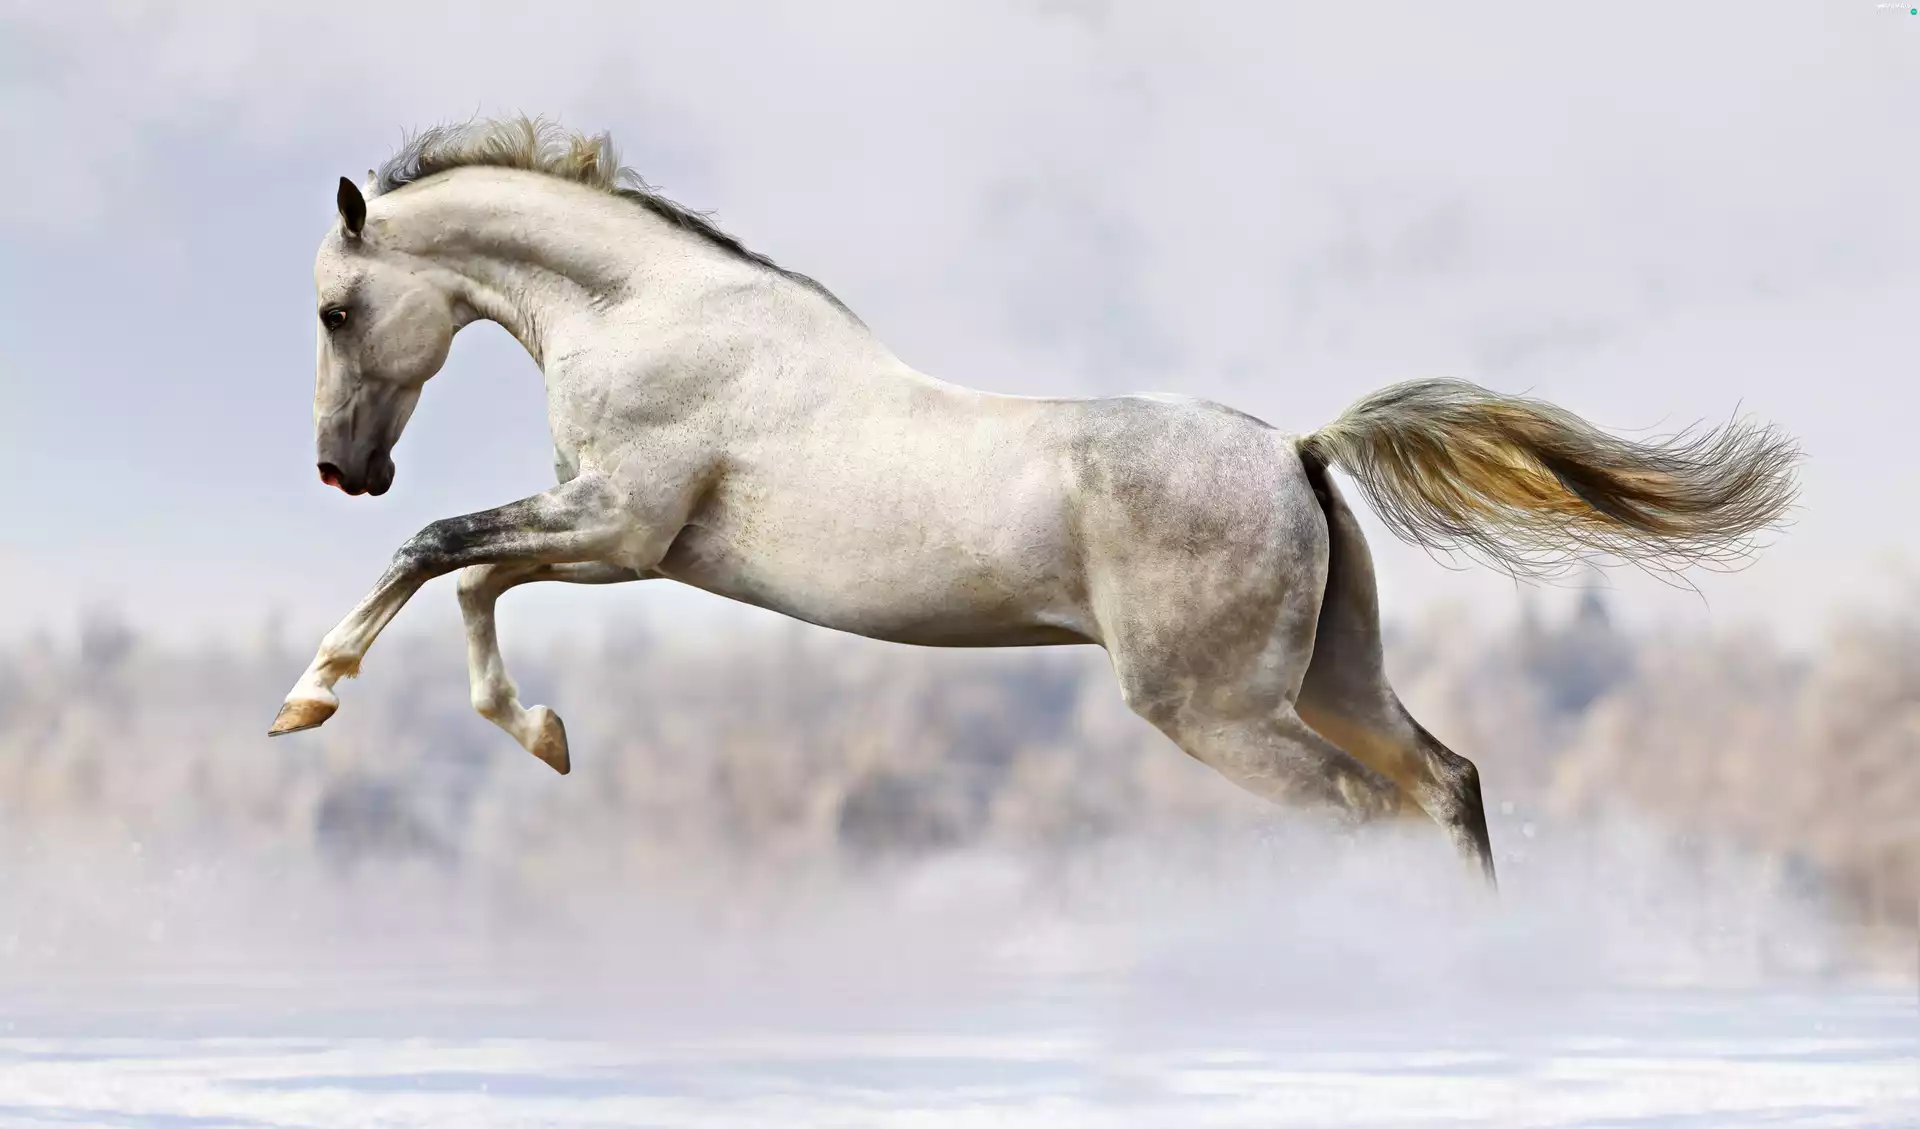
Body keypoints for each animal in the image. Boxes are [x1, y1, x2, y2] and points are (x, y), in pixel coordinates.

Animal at [269, 117, 1800, 885]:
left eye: (338, 309)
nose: (344, 467)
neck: (651, 309)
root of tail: (1300, 450)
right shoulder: (621, 541)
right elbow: (473, 578)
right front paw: (543, 737)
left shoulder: (620, 524)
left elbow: (435, 551)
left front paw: (307, 699)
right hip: (1332, 677)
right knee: (1445, 786)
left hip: (1216, 710)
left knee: (1366, 815)